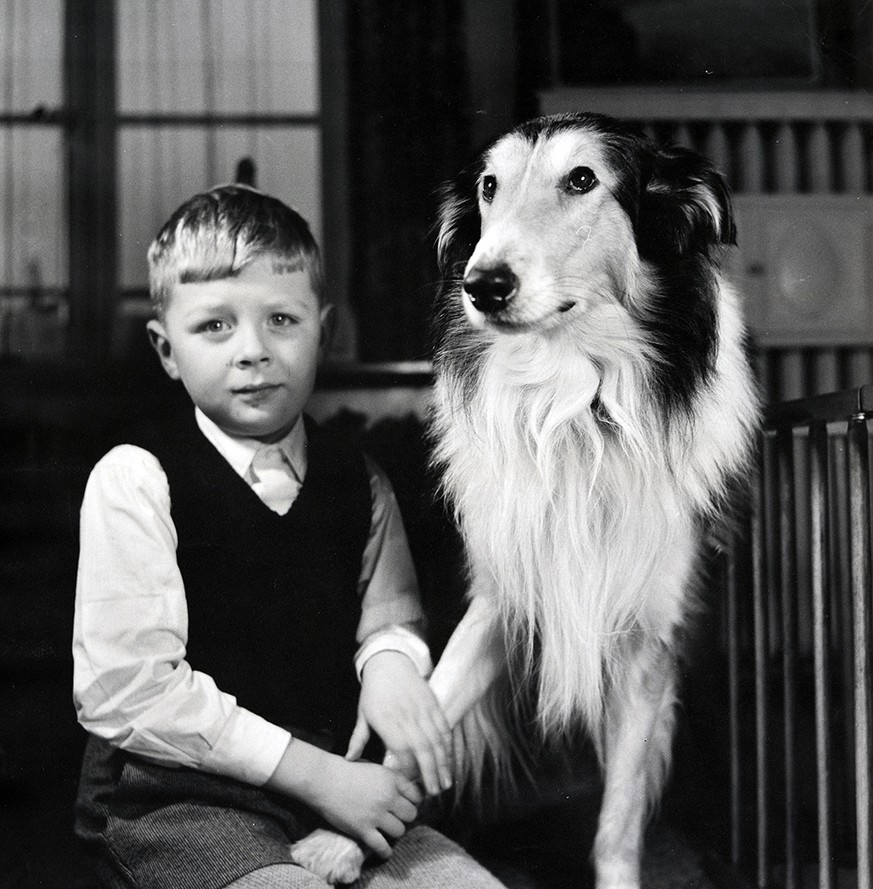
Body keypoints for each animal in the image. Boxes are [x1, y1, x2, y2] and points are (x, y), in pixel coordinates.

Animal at [292, 112, 756, 888]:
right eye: (488, 186)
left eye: (582, 179)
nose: (482, 284)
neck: (574, 408)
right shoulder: (500, 595)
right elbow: (428, 714)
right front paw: (342, 837)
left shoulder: (647, 635)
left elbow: (618, 814)